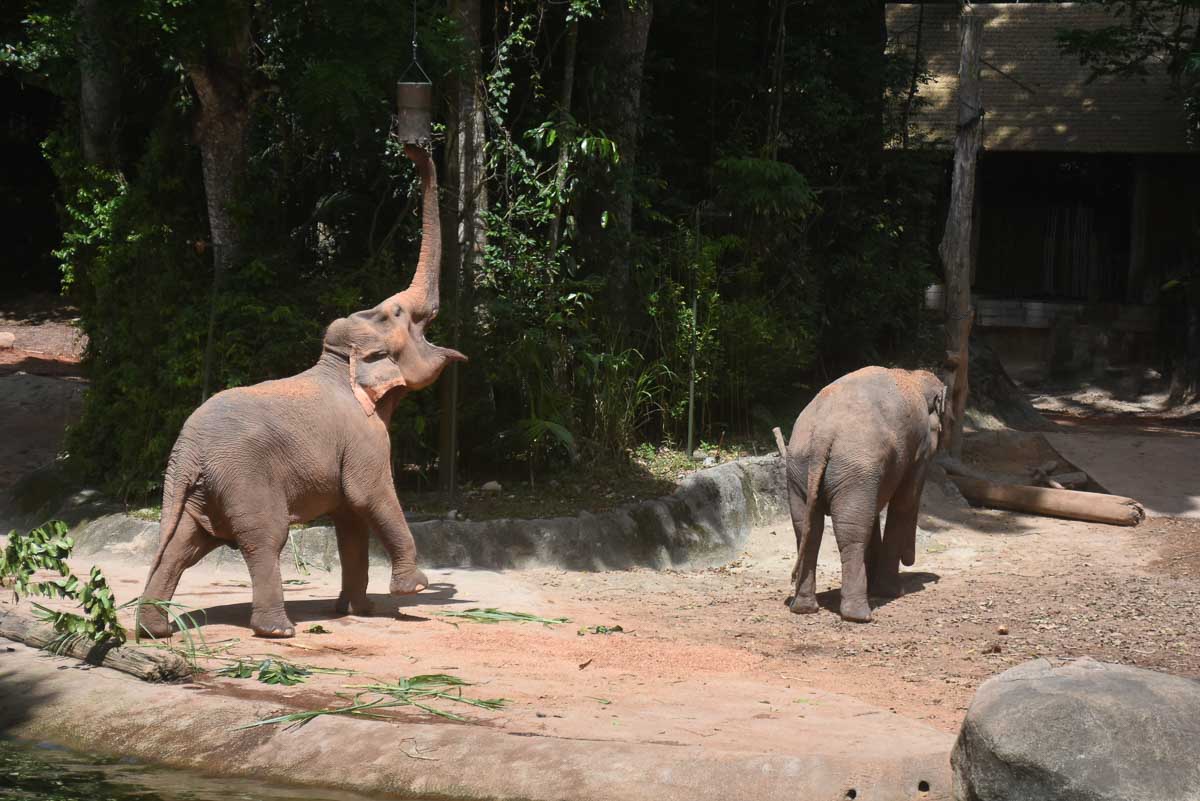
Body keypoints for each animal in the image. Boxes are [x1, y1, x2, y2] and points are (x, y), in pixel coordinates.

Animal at [137, 146, 463, 642]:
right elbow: (371, 496)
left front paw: (358, 609)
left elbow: (350, 519)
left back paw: (156, 631)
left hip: (200, 490)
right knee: (263, 539)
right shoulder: (366, 440)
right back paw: (278, 630)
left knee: (184, 545)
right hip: (243, 478)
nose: (413, 147)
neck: (339, 365)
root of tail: (184, 449)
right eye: (400, 314)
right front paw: (414, 590)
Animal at [782, 366, 950, 623]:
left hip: (802, 467)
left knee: (807, 529)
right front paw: (891, 591)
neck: (911, 376)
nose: (910, 560)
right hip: (853, 467)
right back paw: (859, 615)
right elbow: (904, 502)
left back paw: (803, 608)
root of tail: (822, 434)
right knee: (851, 532)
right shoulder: (919, 448)